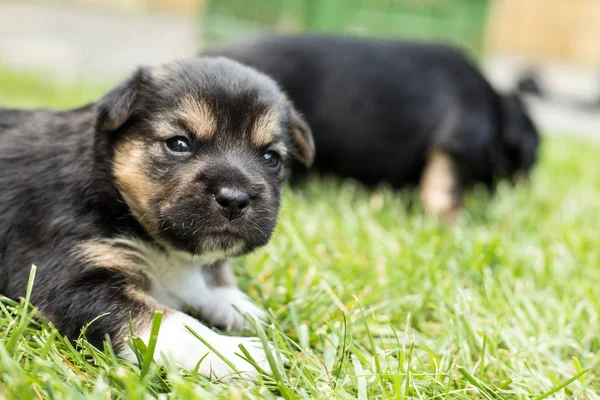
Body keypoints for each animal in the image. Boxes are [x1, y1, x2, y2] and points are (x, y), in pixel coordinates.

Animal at [0, 56, 316, 378]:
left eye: (271, 158)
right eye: (178, 144)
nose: (234, 200)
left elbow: (210, 283)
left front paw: (240, 308)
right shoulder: (70, 280)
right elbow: (170, 323)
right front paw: (236, 353)